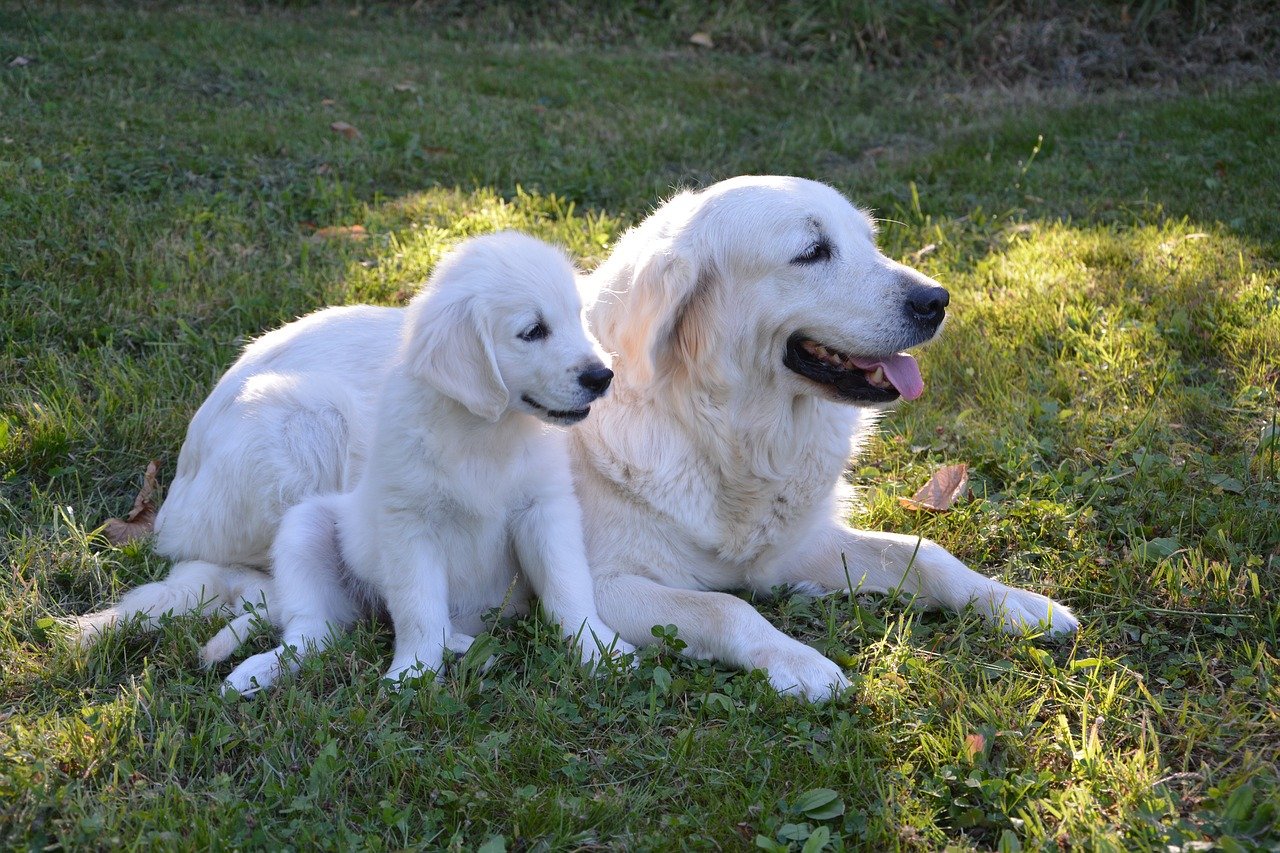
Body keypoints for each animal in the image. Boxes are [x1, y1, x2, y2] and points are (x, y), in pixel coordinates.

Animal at [221, 230, 634, 691]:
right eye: (533, 331)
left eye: (577, 319)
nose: (602, 376)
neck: (485, 432)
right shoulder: (409, 524)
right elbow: (418, 609)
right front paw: (413, 674)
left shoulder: (545, 509)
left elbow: (567, 587)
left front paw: (600, 650)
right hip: (305, 529)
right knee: (311, 633)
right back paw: (257, 671)